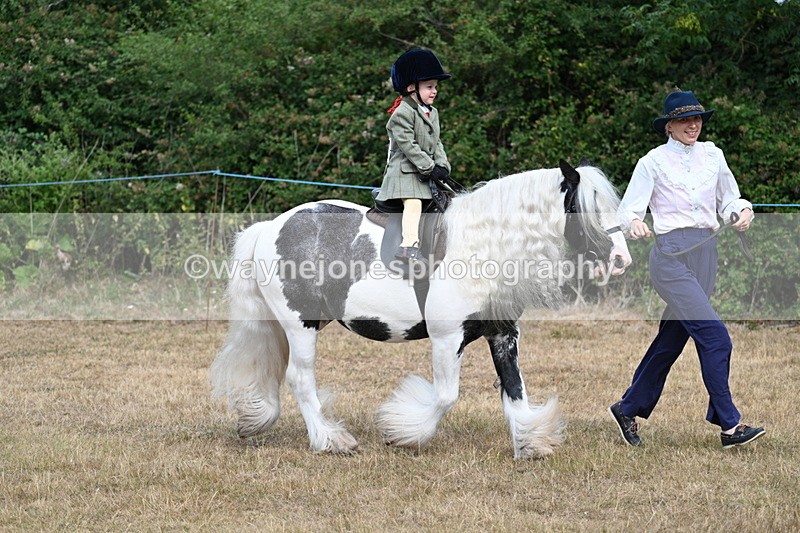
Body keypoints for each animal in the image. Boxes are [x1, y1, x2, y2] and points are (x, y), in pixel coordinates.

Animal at [210, 159, 632, 459]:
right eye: (588, 208)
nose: (621, 259)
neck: (482, 247)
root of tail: (270, 227)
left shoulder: (502, 335)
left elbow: (515, 391)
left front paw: (529, 442)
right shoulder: (447, 339)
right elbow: (445, 397)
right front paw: (403, 433)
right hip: (301, 326)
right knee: (300, 379)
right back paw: (329, 441)